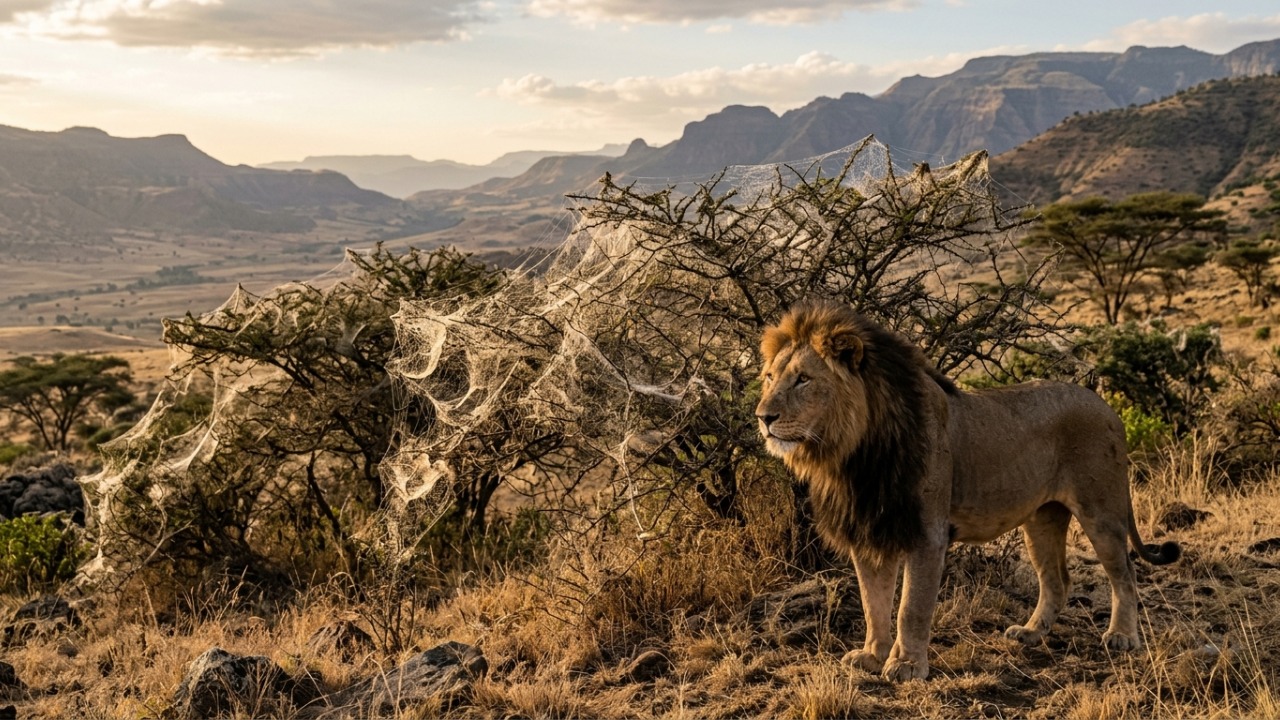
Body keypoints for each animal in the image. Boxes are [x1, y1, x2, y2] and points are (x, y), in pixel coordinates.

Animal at [755, 299, 1180, 681]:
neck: (853, 454)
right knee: (1057, 580)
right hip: (1042, 519)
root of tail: (1106, 405)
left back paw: (1122, 636)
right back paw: (1030, 633)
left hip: (1101, 511)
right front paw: (872, 656)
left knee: (1124, 573)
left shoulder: (926, 532)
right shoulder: (871, 530)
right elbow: (872, 601)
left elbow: (911, 606)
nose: (763, 417)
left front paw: (907, 665)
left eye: (803, 379)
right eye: (770, 377)